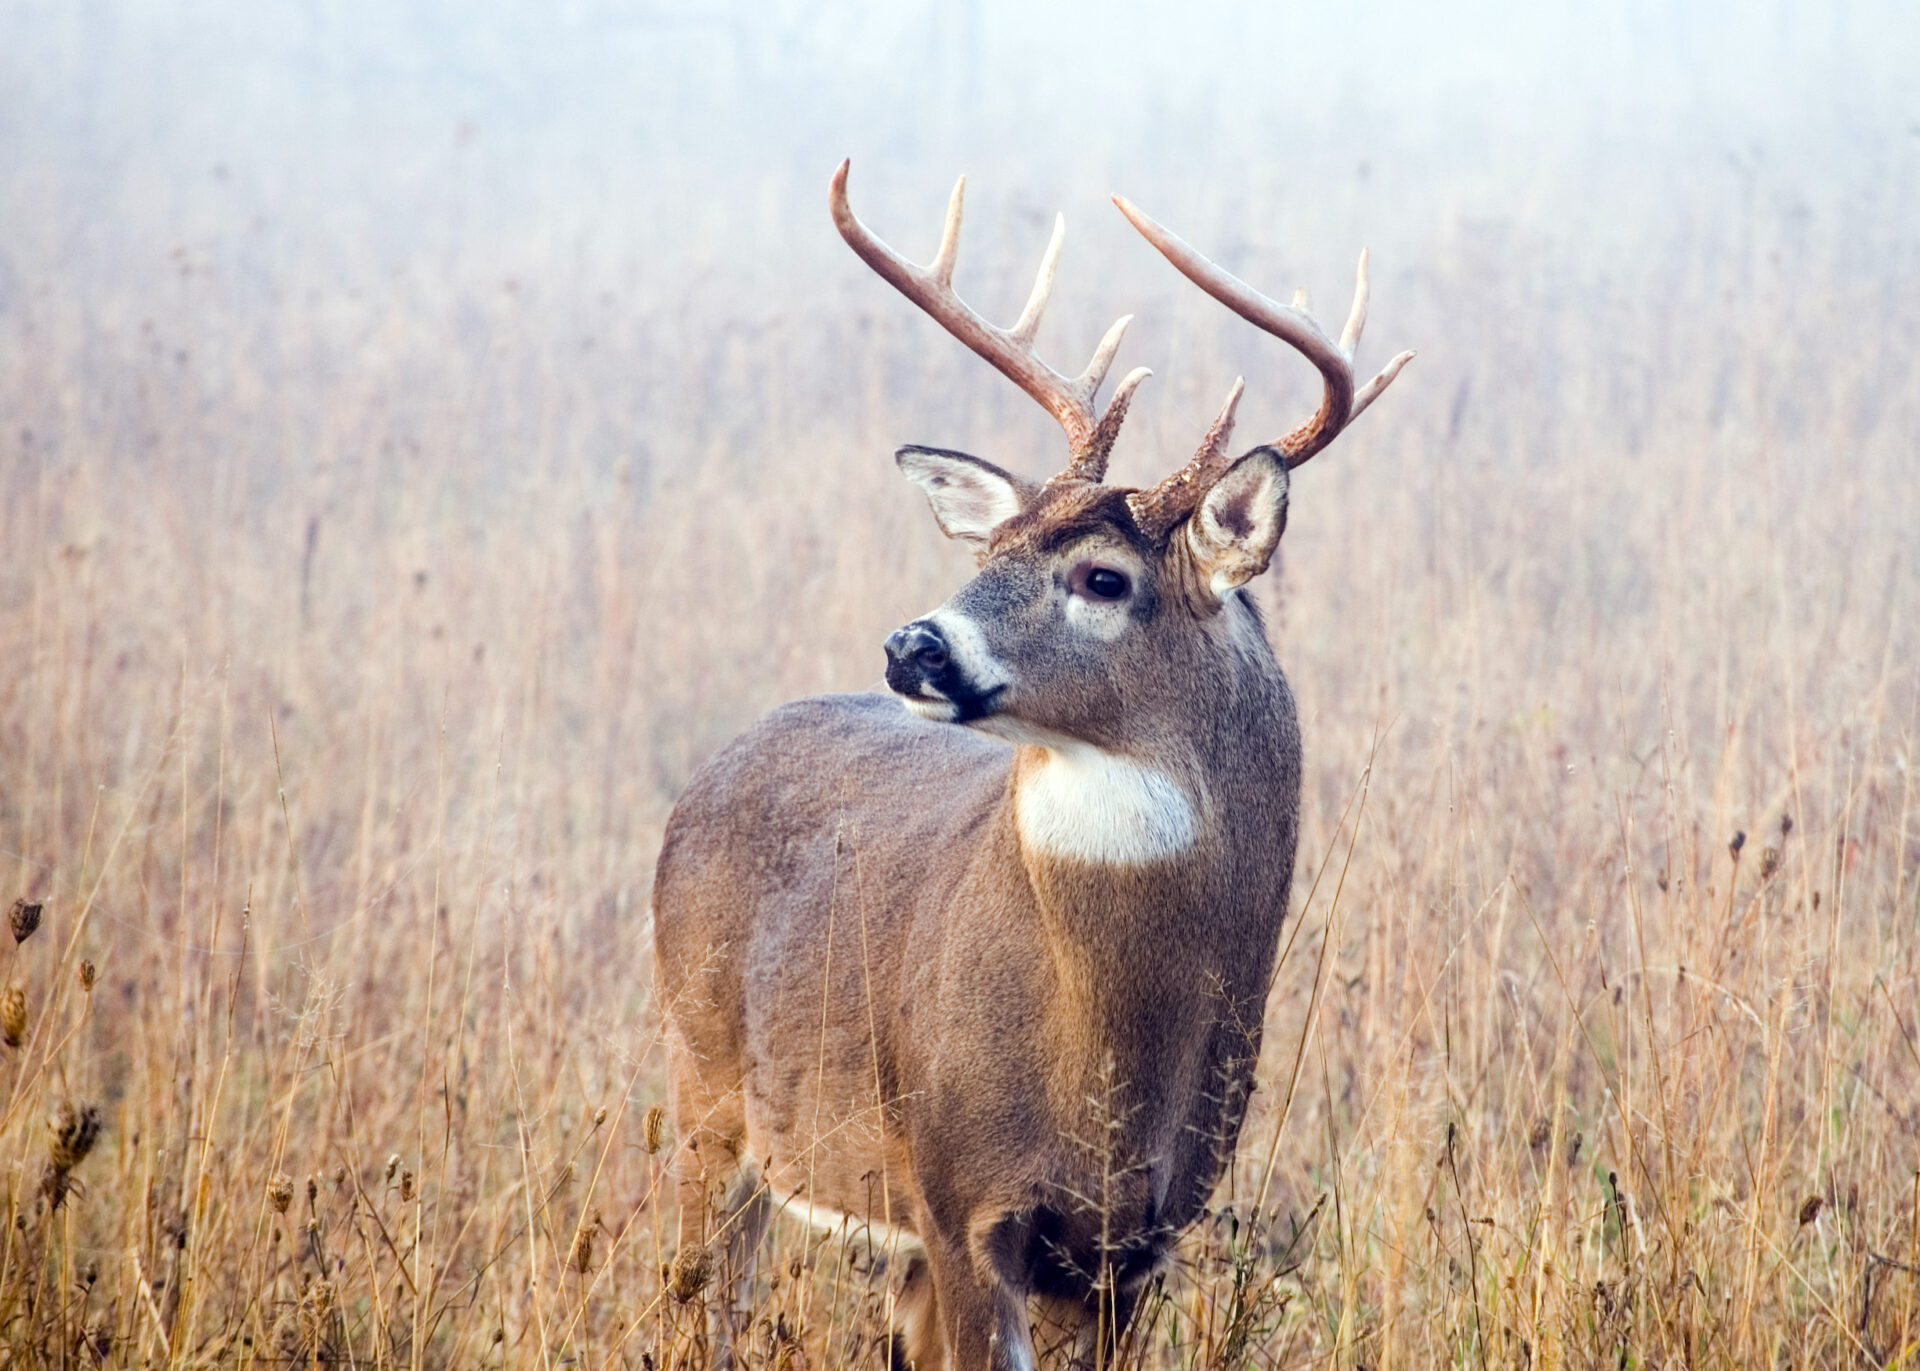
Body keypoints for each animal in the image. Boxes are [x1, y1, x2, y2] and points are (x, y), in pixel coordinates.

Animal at [652, 163, 1420, 1367]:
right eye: (997, 548)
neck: (1108, 1053)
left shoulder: (1138, 1241)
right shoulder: (964, 1195)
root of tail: (716, 764)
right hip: (707, 1096)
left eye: (1103, 577)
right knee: (695, 1304)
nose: (912, 646)